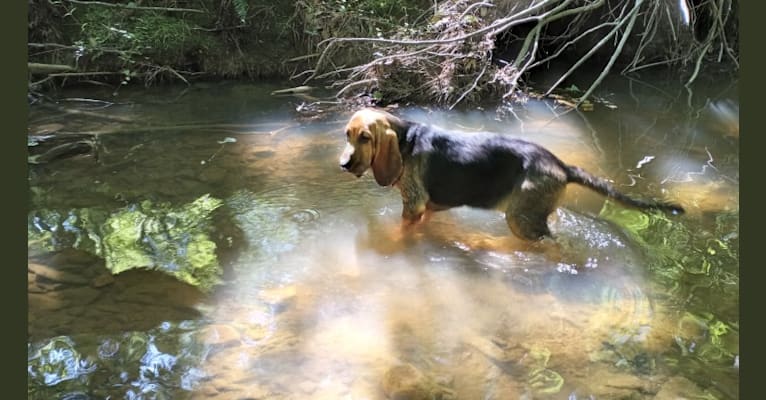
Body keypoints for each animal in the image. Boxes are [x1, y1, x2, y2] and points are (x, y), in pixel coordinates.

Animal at [340, 107, 688, 241]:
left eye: (366, 138)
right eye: (347, 135)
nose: (343, 164)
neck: (405, 140)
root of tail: (562, 166)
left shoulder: (412, 205)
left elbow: (401, 231)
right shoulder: (427, 208)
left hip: (521, 219)